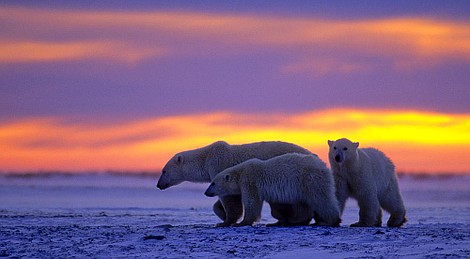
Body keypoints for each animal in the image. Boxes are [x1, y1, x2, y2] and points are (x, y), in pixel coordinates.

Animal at [157, 140, 316, 228]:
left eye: (164, 171)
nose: (158, 185)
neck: (206, 159)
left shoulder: (219, 166)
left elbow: (230, 198)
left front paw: (225, 221)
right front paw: (221, 214)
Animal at [204, 154, 340, 228]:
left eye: (213, 183)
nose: (206, 192)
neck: (240, 172)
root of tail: (324, 166)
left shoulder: (250, 181)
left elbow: (251, 202)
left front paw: (242, 222)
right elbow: (277, 205)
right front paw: (278, 221)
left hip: (310, 179)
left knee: (321, 198)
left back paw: (330, 221)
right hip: (302, 186)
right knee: (303, 204)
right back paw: (296, 221)